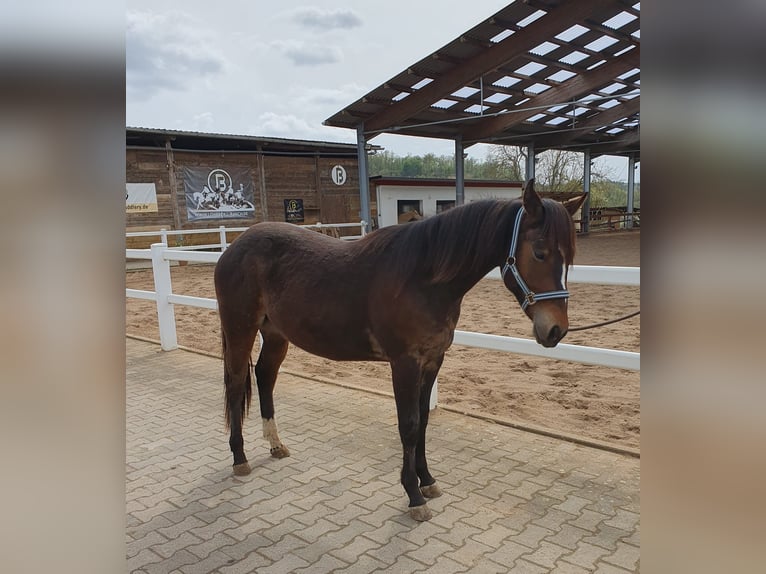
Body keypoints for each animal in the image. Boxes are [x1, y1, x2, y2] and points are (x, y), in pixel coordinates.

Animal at [214, 179, 577, 521]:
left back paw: (275, 444)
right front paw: (414, 495)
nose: (555, 330)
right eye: (540, 252)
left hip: (275, 335)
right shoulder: (405, 363)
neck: (423, 278)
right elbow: (410, 425)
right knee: (235, 382)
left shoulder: (433, 360)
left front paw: (427, 481)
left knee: (264, 376)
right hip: (240, 330)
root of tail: (235, 248)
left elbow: (424, 422)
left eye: (569, 258)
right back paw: (239, 458)